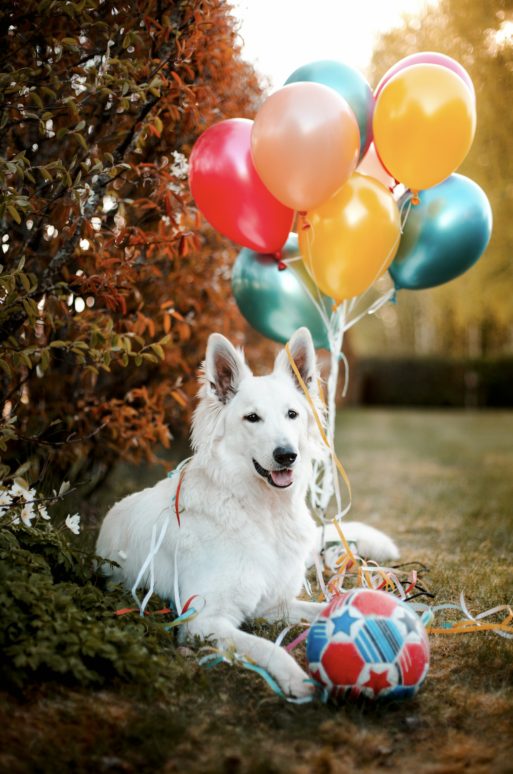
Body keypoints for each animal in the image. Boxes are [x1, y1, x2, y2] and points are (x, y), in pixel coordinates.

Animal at [97, 328, 400, 704]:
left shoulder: (274, 604)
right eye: (252, 418)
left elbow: (324, 610)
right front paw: (295, 678)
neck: (264, 515)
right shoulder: (203, 620)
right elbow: (266, 647)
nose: (287, 455)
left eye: (292, 414)